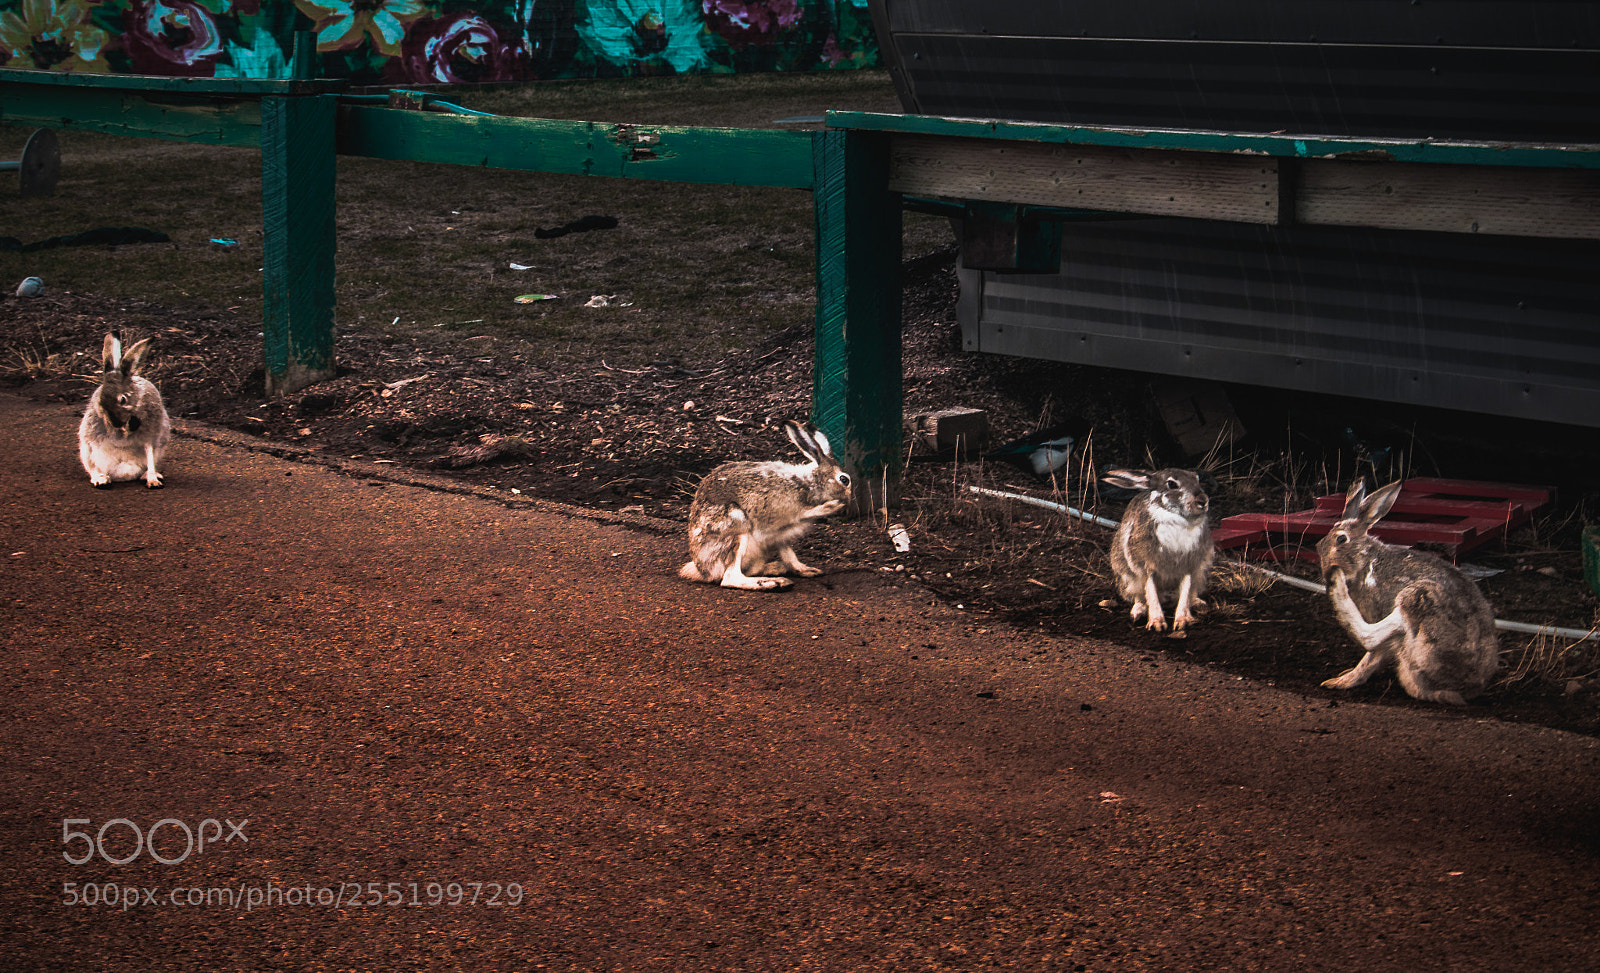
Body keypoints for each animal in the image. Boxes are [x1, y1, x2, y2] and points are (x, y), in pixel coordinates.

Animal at [78, 332, 172, 489]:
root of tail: (124, 474)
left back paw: (151, 478)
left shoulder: (150, 433)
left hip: (158, 447)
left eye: (122, 399)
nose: (115, 422)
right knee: (94, 468)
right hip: (87, 449)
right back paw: (101, 479)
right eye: (101, 400)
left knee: (150, 462)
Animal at [680, 419, 853, 590]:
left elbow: (789, 553)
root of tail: (702, 570)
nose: (849, 501)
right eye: (844, 479)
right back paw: (773, 582)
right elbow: (802, 514)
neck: (808, 483)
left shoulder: (780, 536)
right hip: (735, 527)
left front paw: (807, 570)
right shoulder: (777, 516)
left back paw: (776, 568)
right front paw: (831, 506)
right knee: (730, 577)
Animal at [1101, 468, 1214, 633]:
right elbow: (1151, 593)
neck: (1177, 519)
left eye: (1197, 479)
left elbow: (1185, 593)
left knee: (1190, 594)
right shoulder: (1145, 566)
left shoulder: (1189, 566)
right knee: (1139, 597)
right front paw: (1157, 624)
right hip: (1127, 576)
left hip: (1201, 573)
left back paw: (1197, 605)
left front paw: (1182, 621)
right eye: (1172, 484)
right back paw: (1138, 612)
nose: (1203, 501)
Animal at [1316, 478, 1500, 706]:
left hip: (1416, 598)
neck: (1365, 560)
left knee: (1369, 636)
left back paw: (1337, 585)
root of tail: (1463, 691)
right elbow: (1372, 658)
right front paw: (1347, 678)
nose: (1326, 572)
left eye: (1341, 540)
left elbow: (1373, 647)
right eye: (1319, 546)